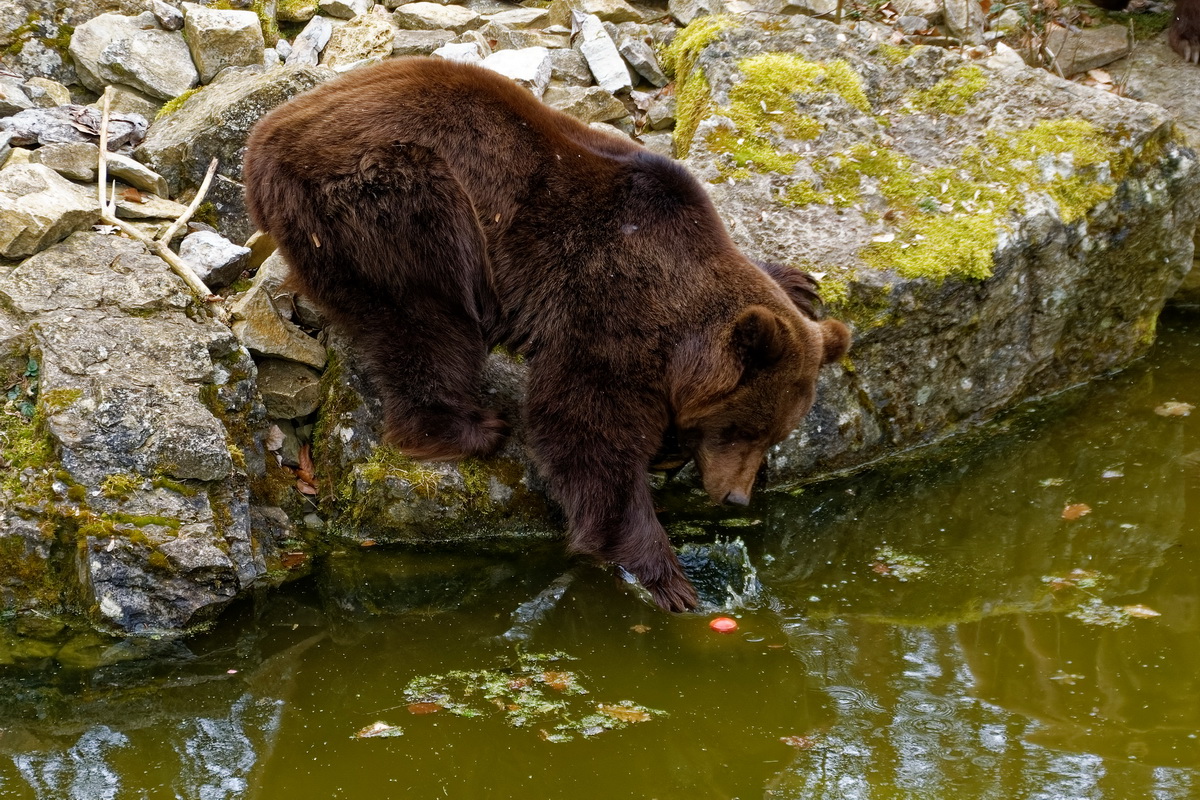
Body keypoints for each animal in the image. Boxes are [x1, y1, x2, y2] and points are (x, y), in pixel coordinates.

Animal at [238, 57, 849, 614]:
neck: (677, 326)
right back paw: (469, 428)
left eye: (775, 434)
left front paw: (799, 281)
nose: (737, 496)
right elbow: (583, 429)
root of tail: (261, 141)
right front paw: (665, 577)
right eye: (743, 429)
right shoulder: (606, 308)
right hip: (393, 195)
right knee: (428, 314)